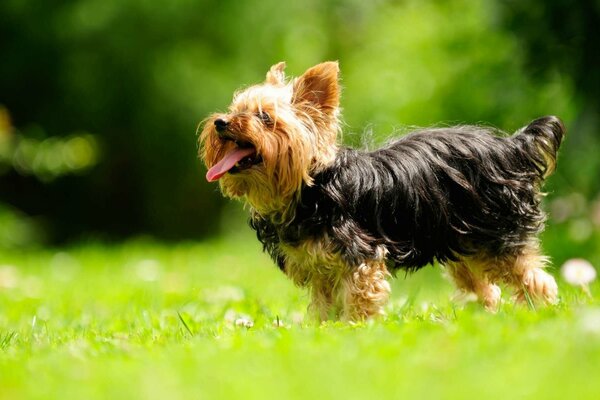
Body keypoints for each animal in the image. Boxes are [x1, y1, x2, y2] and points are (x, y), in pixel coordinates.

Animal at [199, 61, 564, 320]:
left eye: (264, 118)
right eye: (235, 110)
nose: (221, 122)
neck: (308, 189)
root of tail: (511, 146)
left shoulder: (361, 257)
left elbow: (360, 300)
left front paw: (354, 329)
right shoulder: (321, 270)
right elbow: (323, 307)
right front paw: (323, 331)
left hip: (498, 235)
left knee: (536, 279)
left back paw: (542, 314)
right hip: (462, 242)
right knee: (485, 290)